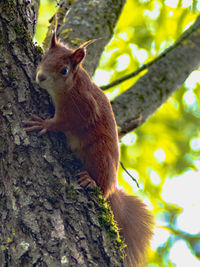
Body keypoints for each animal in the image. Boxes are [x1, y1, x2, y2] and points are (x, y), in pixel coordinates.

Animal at [24, 29, 154, 267]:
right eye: (43, 57)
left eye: (64, 70)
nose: (41, 77)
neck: (71, 85)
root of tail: (113, 184)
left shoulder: (82, 106)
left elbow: (67, 122)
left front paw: (45, 124)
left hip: (99, 153)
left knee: (101, 185)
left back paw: (91, 181)